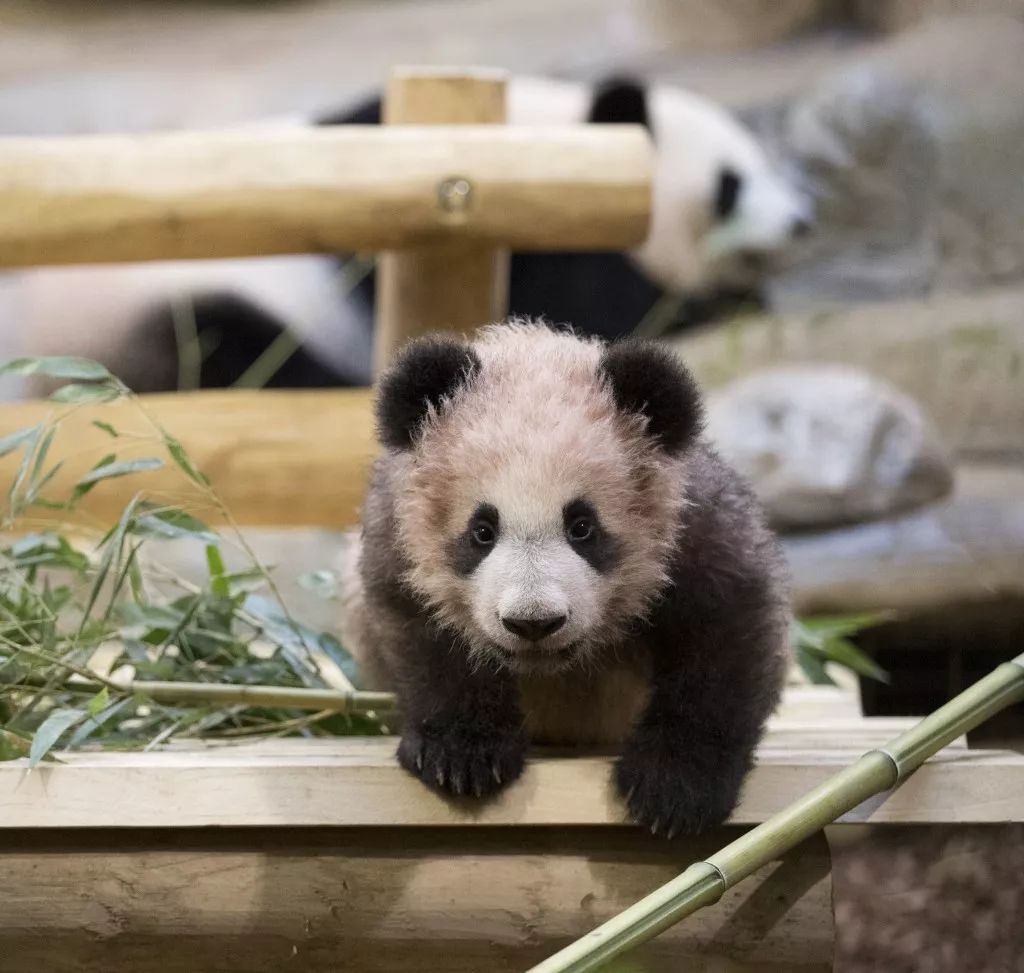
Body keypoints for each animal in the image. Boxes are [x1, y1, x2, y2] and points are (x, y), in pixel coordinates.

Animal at [6, 76, 806, 393]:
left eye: (770, 160)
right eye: (732, 182)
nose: (801, 221)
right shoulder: (531, 217)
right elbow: (589, 305)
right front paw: (715, 306)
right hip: (163, 302)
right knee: (230, 345)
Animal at [339, 321, 786, 839]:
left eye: (582, 527)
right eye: (482, 531)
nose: (534, 623)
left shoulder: (693, 524)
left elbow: (725, 633)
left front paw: (675, 787)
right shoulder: (398, 535)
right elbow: (421, 635)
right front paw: (461, 754)